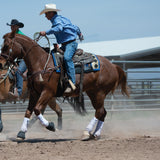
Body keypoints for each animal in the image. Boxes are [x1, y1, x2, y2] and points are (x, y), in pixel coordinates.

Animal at [1, 31, 129, 140]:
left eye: (6, 45)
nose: (1, 63)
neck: (41, 62)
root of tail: (113, 66)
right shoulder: (34, 93)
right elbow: (28, 111)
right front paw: (21, 133)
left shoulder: (47, 92)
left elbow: (37, 109)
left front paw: (51, 126)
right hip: (93, 92)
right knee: (102, 112)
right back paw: (95, 134)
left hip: (100, 92)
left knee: (100, 112)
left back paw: (86, 132)